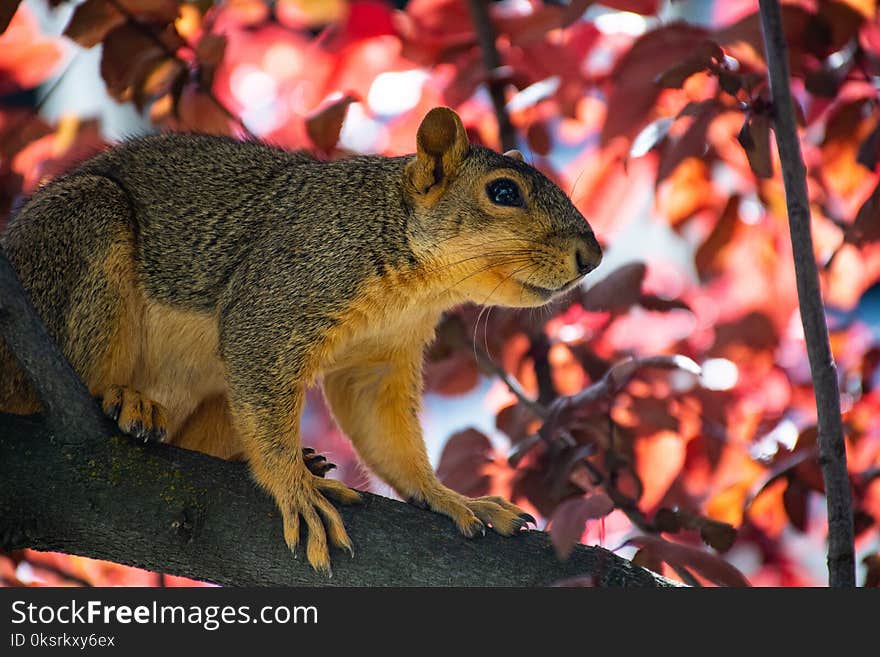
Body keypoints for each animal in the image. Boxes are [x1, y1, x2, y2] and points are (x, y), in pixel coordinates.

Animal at [0, 105, 600, 572]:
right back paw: (127, 400)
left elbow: (382, 431)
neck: (416, 287)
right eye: (503, 191)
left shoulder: (380, 356)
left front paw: (450, 497)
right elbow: (259, 358)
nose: (592, 256)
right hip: (81, 233)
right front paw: (296, 490)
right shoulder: (283, 291)